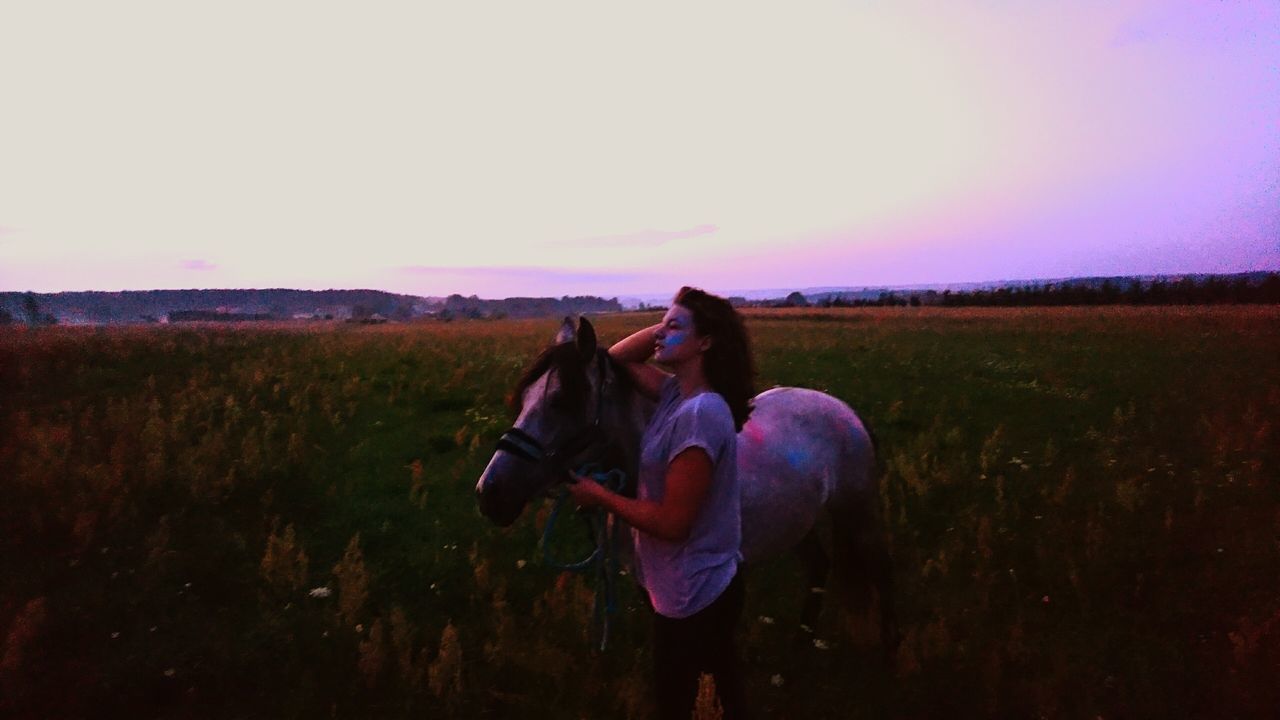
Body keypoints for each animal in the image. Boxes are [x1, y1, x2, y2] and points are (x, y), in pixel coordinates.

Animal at [473, 313, 901, 655]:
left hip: (858, 512)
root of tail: (845, 410)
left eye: (562, 400)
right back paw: (801, 644)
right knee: (817, 567)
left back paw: (887, 654)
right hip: (799, 518)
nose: (489, 493)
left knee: (881, 570)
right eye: (523, 399)